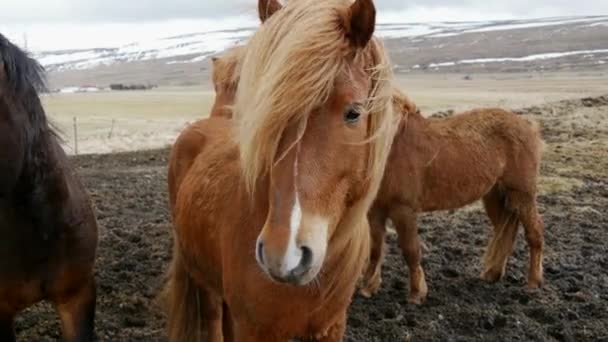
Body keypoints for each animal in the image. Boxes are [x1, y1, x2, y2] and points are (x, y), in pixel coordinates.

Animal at [163, 0, 400, 340]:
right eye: (270, 112)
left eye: (354, 112)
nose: (284, 255)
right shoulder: (253, 329)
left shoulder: (331, 326)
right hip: (202, 279)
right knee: (213, 317)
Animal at [360, 89, 548, 304]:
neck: (390, 145)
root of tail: (528, 125)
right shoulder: (375, 211)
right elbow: (375, 250)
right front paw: (368, 289)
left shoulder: (403, 210)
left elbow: (411, 250)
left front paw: (416, 294)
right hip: (494, 196)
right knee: (505, 230)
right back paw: (492, 274)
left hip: (522, 195)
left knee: (535, 233)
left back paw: (533, 283)